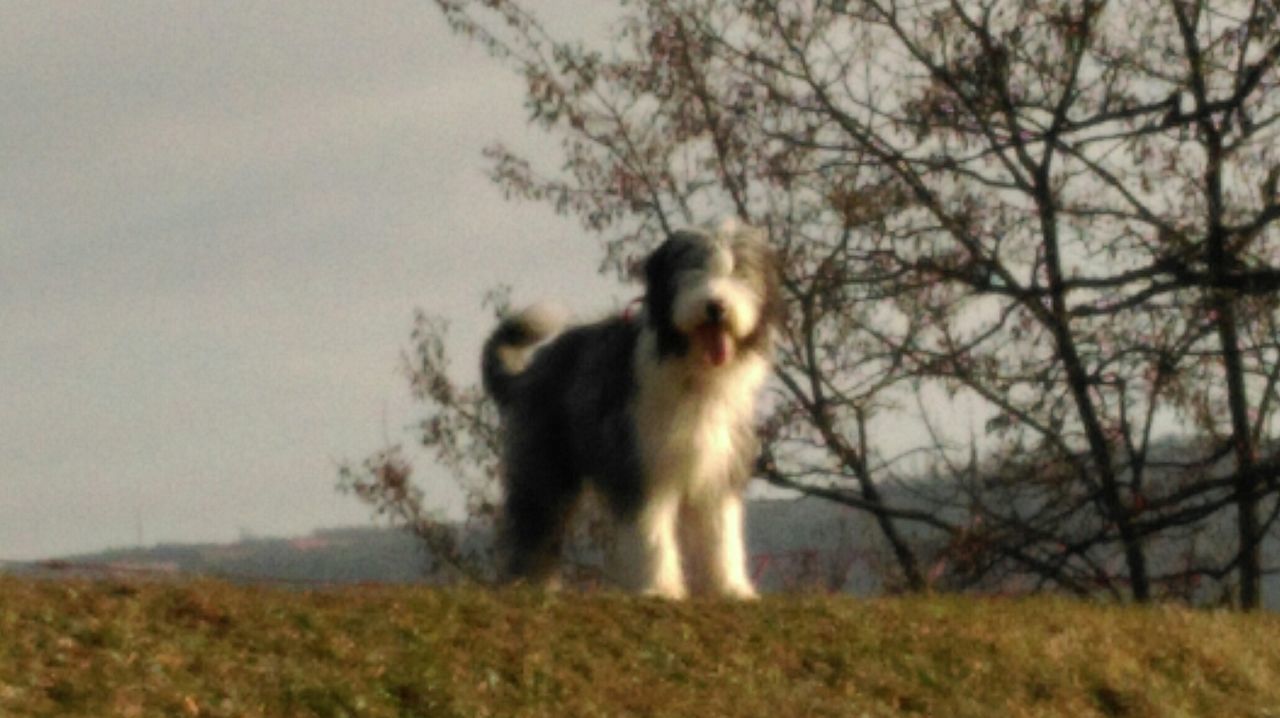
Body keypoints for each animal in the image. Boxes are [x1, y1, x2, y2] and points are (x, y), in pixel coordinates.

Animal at [481, 220, 778, 598]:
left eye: (739, 272)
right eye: (693, 270)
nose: (716, 306)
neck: (693, 372)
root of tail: (528, 372)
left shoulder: (718, 466)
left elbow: (721, 534)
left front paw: (731, 589)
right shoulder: (640, 464)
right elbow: (651, 531)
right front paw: (661, 589)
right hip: (543, 466)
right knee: (533, 525)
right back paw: (527, 585)